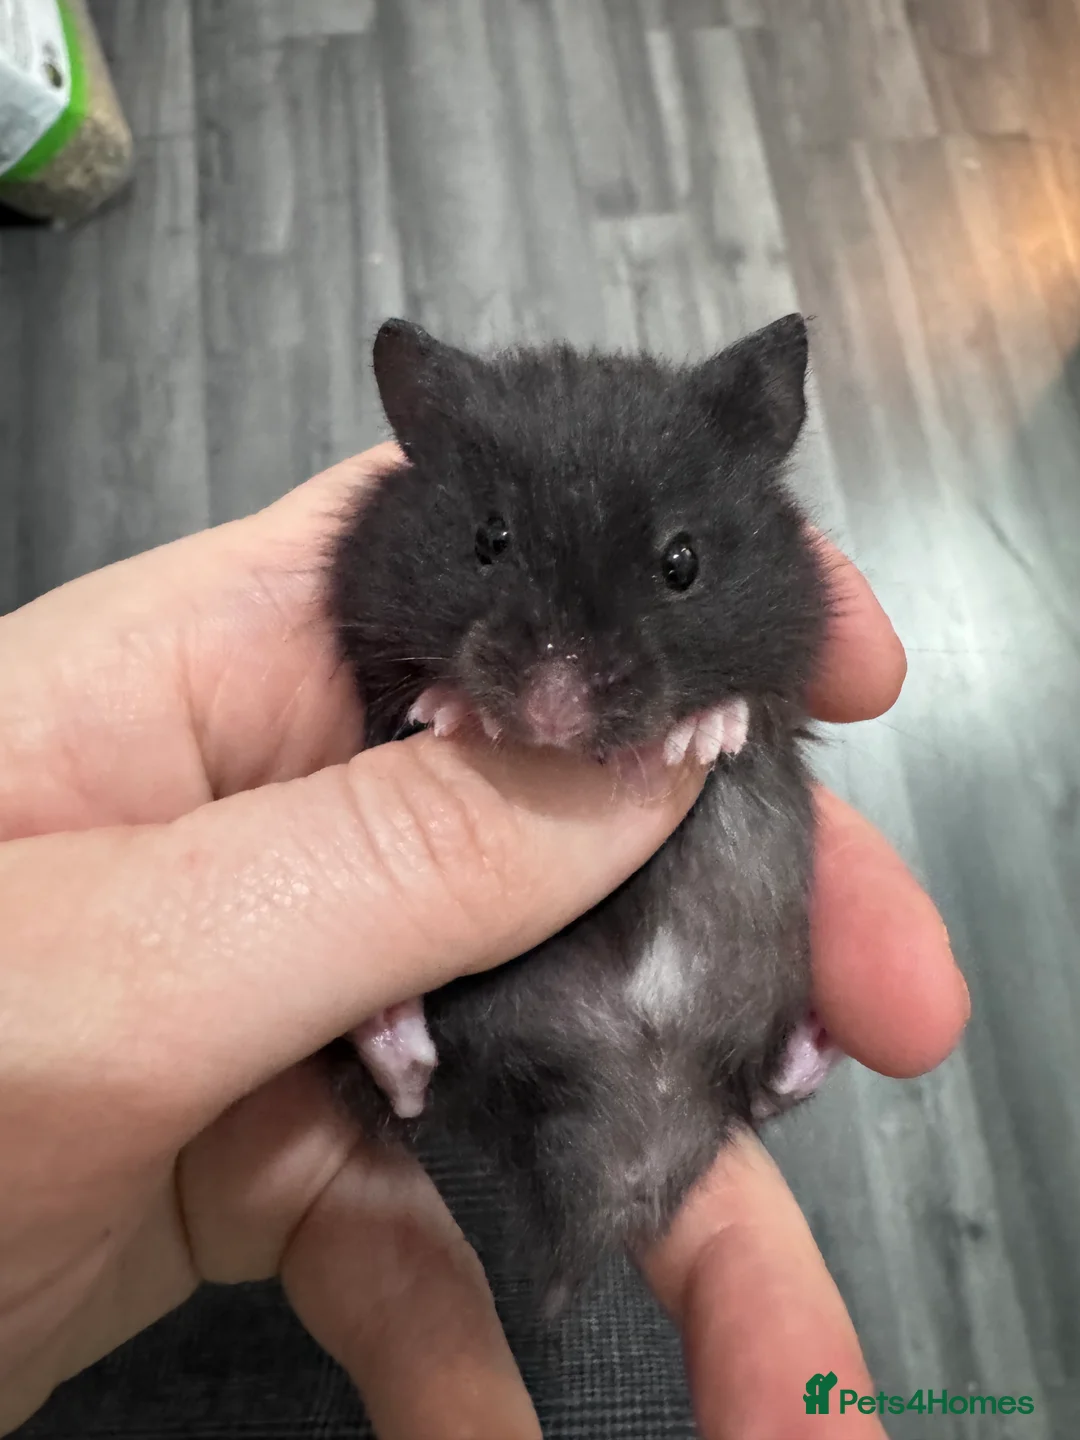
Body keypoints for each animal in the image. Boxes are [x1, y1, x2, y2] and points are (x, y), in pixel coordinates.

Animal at [326, 316, 840, 1310]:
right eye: (488, 538)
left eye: (681, 563)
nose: (551, 712)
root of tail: (623, 1160)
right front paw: (451, 710)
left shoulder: (794, 659)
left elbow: (756, 707)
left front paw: (699, 736)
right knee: (414, 1088)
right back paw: (387, 1028)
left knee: (765, 1093)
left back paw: (820, 1043)